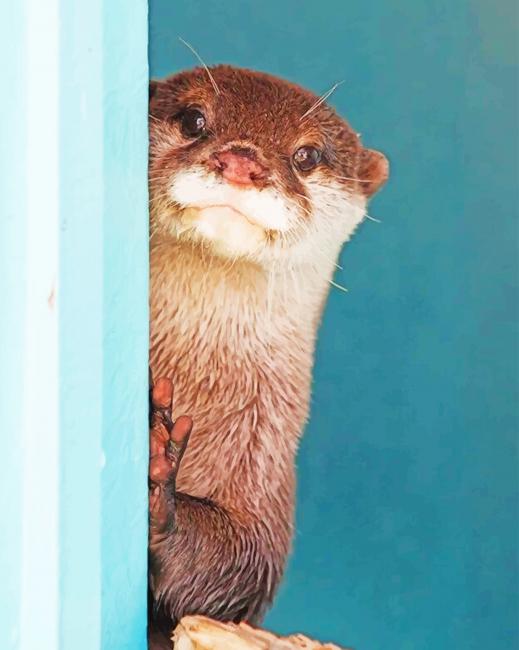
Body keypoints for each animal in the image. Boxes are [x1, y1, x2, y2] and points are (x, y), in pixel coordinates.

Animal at [147, 65, 388, 648]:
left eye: (307, 154)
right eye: (193, 119)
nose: (241, 160)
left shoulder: (266, 467)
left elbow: (245, 566)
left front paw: (160, 485)